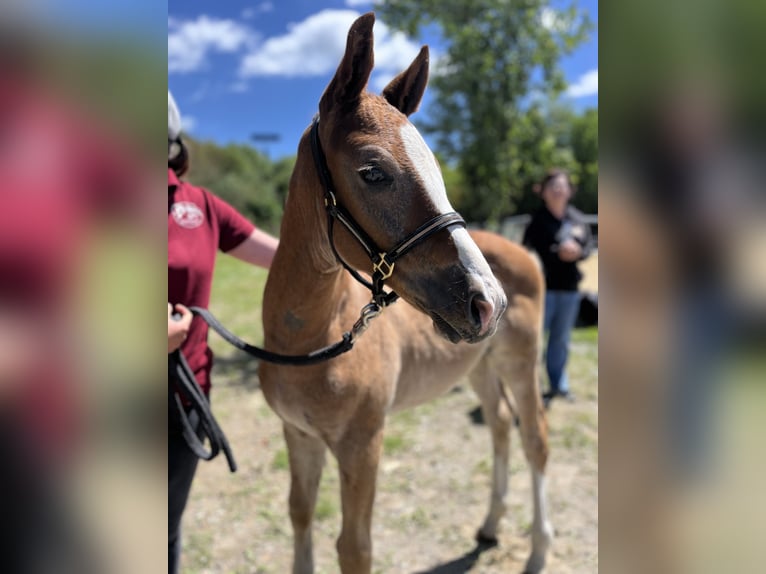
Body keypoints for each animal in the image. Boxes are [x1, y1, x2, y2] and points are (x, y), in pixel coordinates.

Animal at [260, 13, 552, 574]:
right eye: (373, 171)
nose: (489, 301)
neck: (309, 341)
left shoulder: (362, 443)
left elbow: (354, 547)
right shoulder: (298, 435)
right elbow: (300, 513)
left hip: (520, 363)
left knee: (535, 440)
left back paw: (538, 551)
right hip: (479, 366)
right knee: (500, 426)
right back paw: (489, 526)